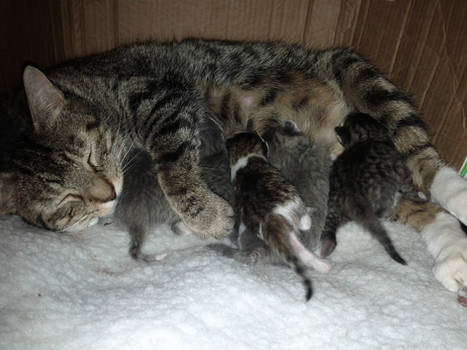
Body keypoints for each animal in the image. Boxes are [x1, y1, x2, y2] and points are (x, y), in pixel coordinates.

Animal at [226, 131, 330, 300]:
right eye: (262, 140)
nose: (265, 139)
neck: (244, 157)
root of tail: (269, 219)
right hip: (293, 203)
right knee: (304, 224)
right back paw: (309, 213)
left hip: (281, 235)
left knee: (300, 253)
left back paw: (323, 266)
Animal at [320, 113, 418, 264]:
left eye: (345, 125)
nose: (336, 128)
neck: (370, 138)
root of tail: (351, 194)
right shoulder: (400, 169)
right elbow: (408, 184)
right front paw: (416, 196)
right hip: (383, 195)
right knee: (380, 212)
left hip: (333, 206)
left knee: (330, 226)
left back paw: (327, 246)